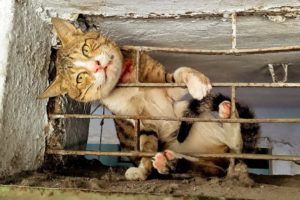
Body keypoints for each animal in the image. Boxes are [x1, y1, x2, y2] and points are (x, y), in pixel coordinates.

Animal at [39, 18, 260, 181]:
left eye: (86, 49)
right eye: (80, 78)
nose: (97, 66)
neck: (126, 81)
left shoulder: (167, 87)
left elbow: (179, 74)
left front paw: (197, 82)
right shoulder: (140, 121)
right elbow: (146, 144)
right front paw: (142, 170)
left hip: (187, 114)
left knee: (235, 147)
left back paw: (229, 119)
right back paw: (168, 162)